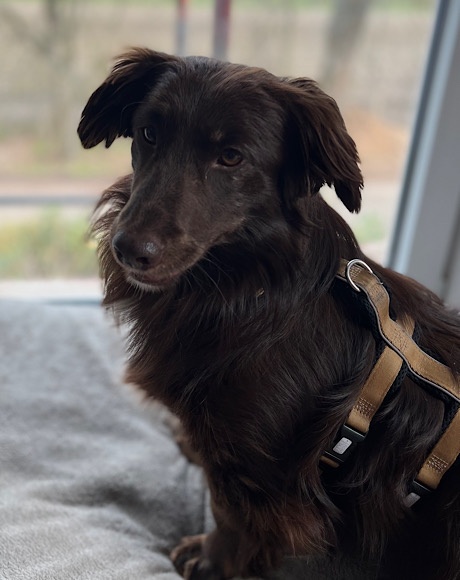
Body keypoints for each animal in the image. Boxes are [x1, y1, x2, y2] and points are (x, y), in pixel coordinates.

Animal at [78, 48, 460, 580]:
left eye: (231, 157)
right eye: (149, 133)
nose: (129, 250)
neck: (248, 285)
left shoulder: (260, 473)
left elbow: (230, 514)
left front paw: (210, 559)